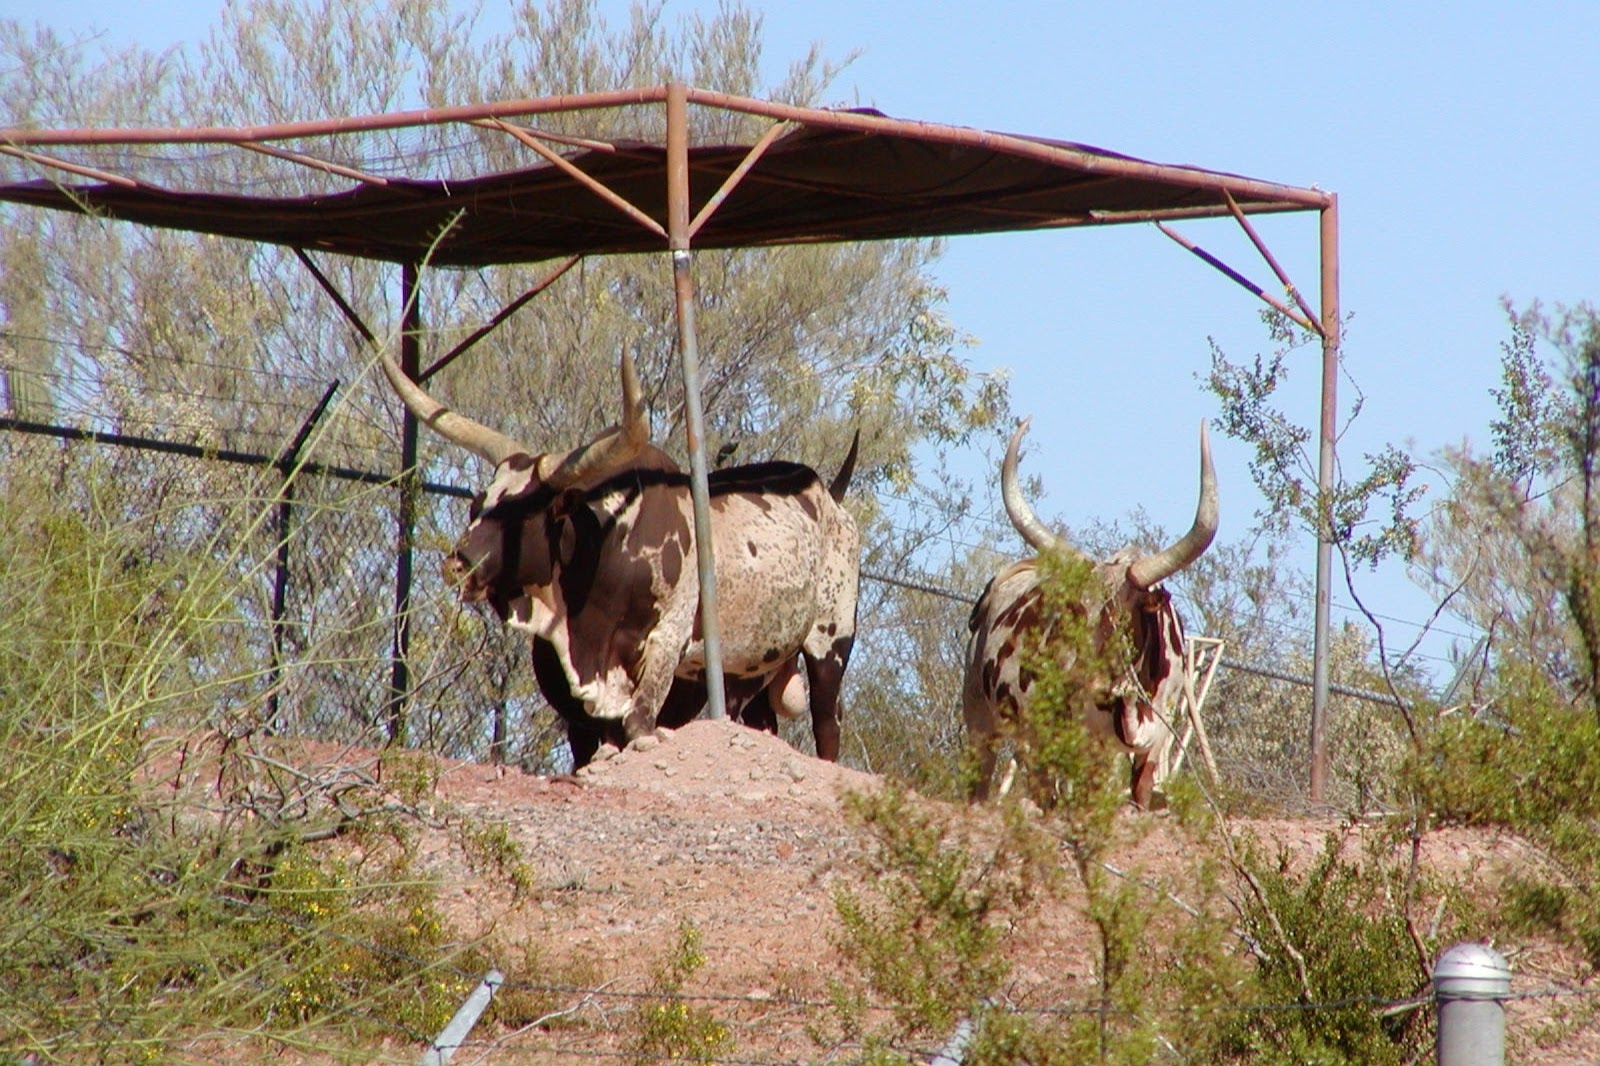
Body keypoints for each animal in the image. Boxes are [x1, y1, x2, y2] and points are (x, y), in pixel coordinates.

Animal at [377, 350, 860, 768]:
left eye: (525, 512)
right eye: (478, 504)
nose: (458, 564)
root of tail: (829, 497)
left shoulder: (667, 641)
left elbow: (638, 724)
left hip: (830, 642)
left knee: (827, 726)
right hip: (751, 671)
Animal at [962, 417, 1217, 809]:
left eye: (1122, 614)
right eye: (1075, 610)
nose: (1083, 680)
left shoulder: (1156, 741)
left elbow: (1141, 793)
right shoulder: (1087, 744)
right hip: (981, 718)